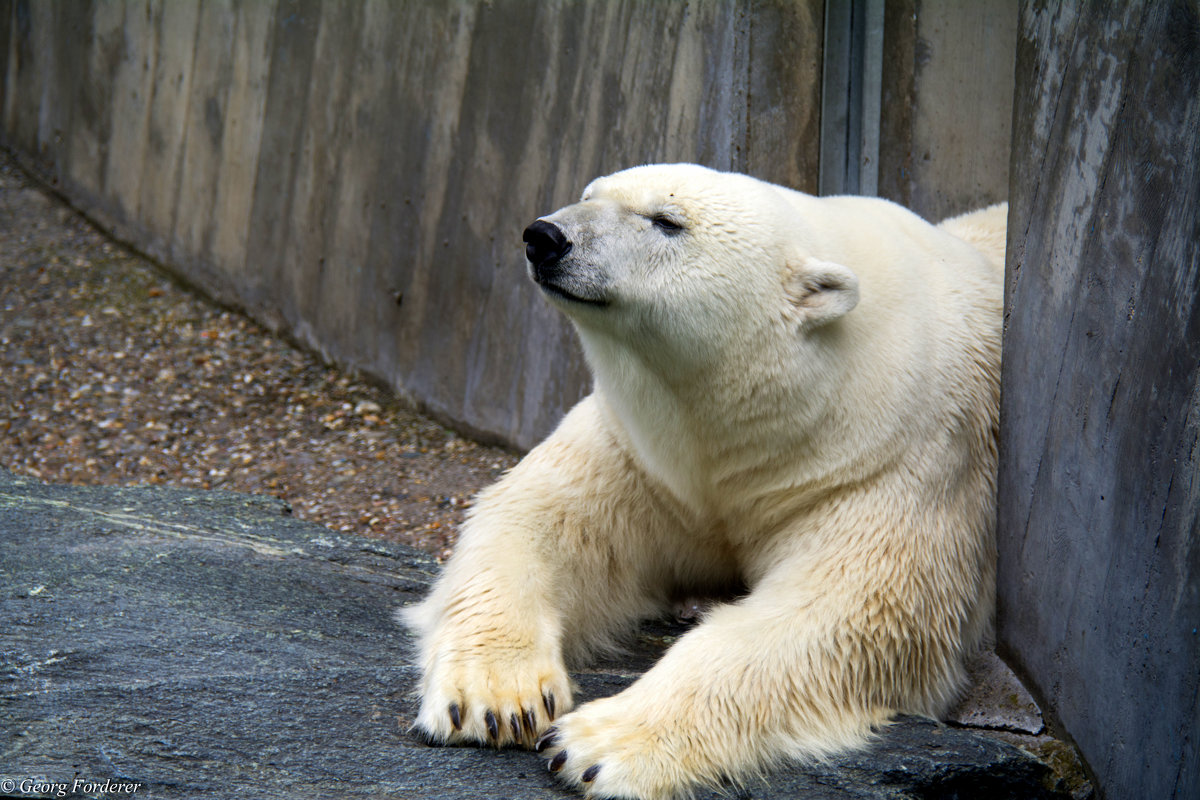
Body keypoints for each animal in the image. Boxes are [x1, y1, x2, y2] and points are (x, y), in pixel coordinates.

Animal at [403, 164, 1003, 800]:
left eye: (667, 221)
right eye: (589, 194)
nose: (545, 237)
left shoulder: (894, 464)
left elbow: (846, 614)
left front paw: (598, 744)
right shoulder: (647, 456)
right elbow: (535, 518)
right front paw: (496, 699)